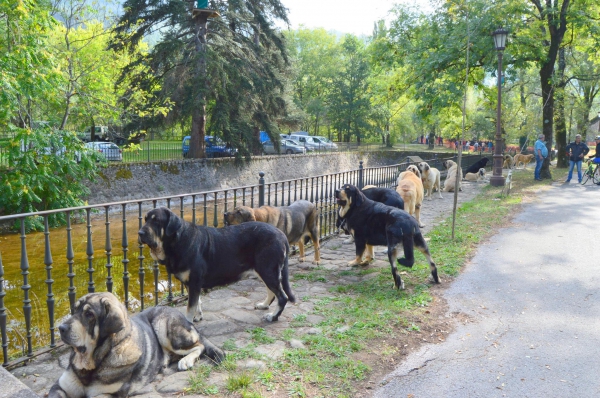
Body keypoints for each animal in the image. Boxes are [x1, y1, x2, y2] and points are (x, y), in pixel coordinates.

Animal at [49, 292, 225, 398]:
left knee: (199, 345)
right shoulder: (59, 387)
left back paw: (186, 361)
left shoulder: (108, 395)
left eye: (89, 314)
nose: (61, 328)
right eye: (74, 310)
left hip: (163, 326)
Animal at [137, 207, 296, 322]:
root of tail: (281, 235)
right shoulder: (191, 284)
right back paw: (264, 305)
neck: (178, 241)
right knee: (272, 292)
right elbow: (197, 302)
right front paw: (198, 316)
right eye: (145, 219)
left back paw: (273, 317)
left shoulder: (194, 281)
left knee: (282, 297)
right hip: (265, 271)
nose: (140, 233)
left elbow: (190, 307)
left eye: (156, 221)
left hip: (268, 270)